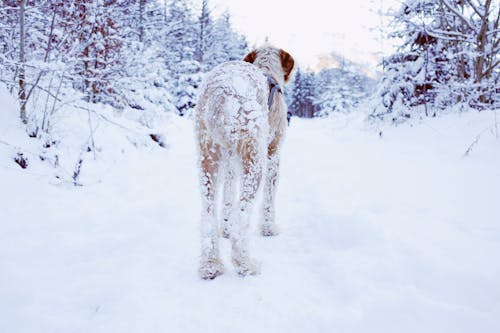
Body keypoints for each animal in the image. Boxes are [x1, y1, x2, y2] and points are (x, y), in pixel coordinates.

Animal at [195, 44, 294, 278]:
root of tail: (221, 91)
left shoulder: (231, 162)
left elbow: (227, 198)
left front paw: (225, 228)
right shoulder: (273, 154)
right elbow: (269, 198)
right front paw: (268, 229)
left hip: (208, 157)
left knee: (209, 212)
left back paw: (211, 264)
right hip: (254, 160)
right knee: (242, 214)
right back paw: (244, 263)